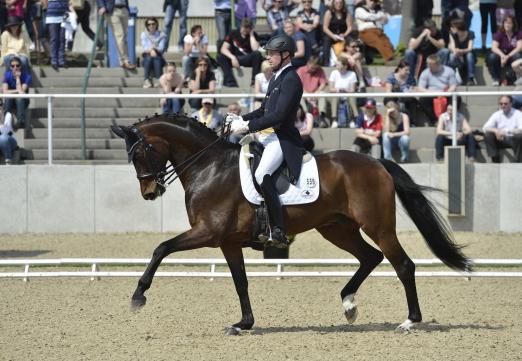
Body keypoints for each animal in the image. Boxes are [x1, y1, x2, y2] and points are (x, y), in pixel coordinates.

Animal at [111, 113, 470, 334]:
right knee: (371, 257)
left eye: (139, 154)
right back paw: (348, 304)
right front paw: (243, 323)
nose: (150, 192)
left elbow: (161, 248)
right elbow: (240, 283)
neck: (209, 167)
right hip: (336, 228)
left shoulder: (208, 232)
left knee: (402, 264)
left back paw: (409, 322)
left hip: (378, 226)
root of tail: (376, 162)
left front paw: (138, 296)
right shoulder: (227, 242)